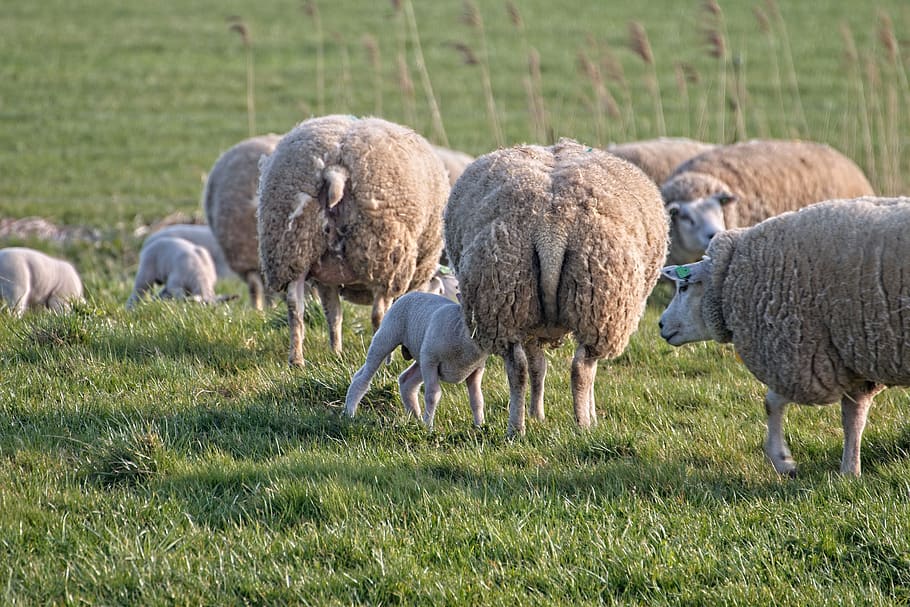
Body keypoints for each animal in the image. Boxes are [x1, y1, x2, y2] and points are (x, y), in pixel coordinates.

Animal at [257, 115, 449, 367]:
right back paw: (385, 362)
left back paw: (297, 359)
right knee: (379, 314)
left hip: (291, 247)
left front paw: (336, 352)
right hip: (382, 253)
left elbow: (333, 314)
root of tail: (335, 170)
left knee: (295, 305)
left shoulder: (326, 279)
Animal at [344, 292, 487, 429]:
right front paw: (429, 427)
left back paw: (416, 419)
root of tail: (411, 293)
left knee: (406, 381)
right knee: (363, 378)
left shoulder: (476, 370)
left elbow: (477, 399)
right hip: (387, 337)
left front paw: (480, 426)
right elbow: (432, 395)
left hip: (420, 355)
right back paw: (350, 413)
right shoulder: (430, 361)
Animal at [444, 139, 668, 435]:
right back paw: (584, 425)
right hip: (598, 307)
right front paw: (589, 414)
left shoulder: (533, 323)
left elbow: (537, 367)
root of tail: (552, 225)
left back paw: (516, 427)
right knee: (582, 368)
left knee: (517, 368)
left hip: (506, 299)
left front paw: (537, 414)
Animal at [658, 196, 910, 476]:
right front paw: (850, 471)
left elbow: (772, 402)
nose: (660, 324)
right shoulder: (850, 358)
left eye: (684, 287)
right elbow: (853, 417)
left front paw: (782, 460)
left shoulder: (803, 357)